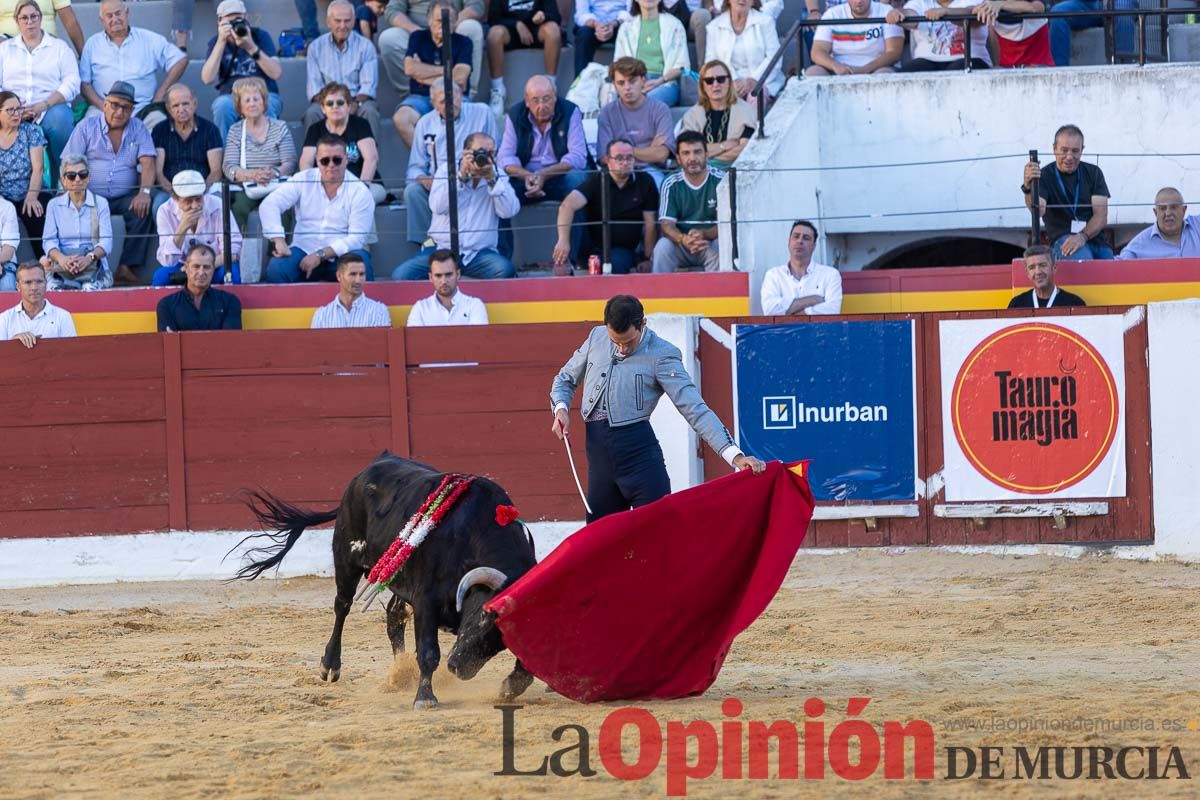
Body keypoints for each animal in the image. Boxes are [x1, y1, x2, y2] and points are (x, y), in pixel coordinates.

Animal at [228, 453, 535, 710]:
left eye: (505, 637)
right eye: (482, 617)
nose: (459, 668)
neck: (472, 535)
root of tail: (369, 467)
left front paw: (509, 687)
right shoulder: (427, 599)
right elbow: (428, 651)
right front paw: (425, 698)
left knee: (393, 615)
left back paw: (401, 673)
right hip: (346, 556)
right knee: (342, 606)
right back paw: (330, 665)